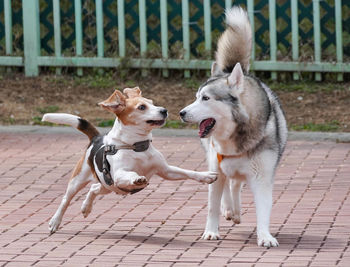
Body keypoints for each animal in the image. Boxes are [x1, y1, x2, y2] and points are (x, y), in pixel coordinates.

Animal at [42, 88, 217, 234]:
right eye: (142, 107)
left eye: (152, 102)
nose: (164, 110)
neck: (137, 147)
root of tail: (96, 138)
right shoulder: (119, 175)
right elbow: (131, 174)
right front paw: (137, 179)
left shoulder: (166, 171)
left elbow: (187, 172)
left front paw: (206, 176)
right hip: (79, 180)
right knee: (66, 200)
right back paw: (55, 221)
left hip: (108, 186)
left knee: (94, 188)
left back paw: (86, 207)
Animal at [180, 6, 288, 248]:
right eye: (196, 97)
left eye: (206, 98)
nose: (181, 113)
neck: (236, 137)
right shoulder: (216, 167)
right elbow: (213, 205)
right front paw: (211, 231)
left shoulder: (262, 176)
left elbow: (263, 210)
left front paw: (265, 236)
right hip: (215, 161)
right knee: (227, 184)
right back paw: (230, 209)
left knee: (236, 183)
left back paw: (235, 210)